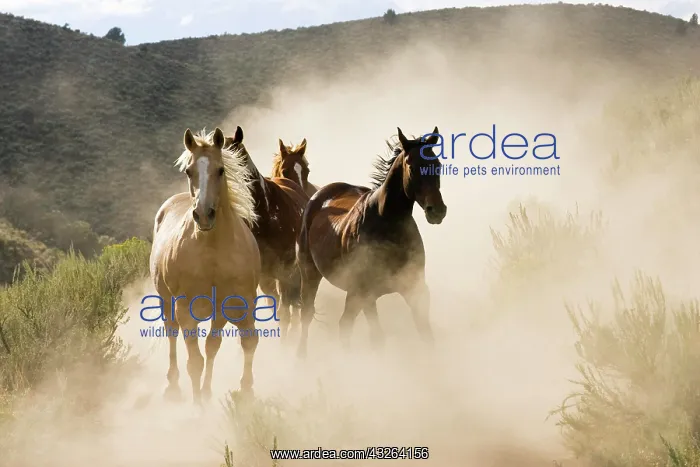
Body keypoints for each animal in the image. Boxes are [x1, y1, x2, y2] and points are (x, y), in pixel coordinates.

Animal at [150, 127, 261, 404]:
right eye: (189, 171)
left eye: (220, 170)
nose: (203, 215)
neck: (212, 251)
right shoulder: (185, 309)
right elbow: (195, 361)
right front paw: (199, 404)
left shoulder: (230, 305)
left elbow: (221, 346)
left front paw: (220, 392)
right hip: (166, 299)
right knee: (171, 333)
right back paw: (173, 386)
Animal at [295, 127, 448, 359]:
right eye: (412, 167)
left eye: (437, 165)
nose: (436, 211)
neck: (387, 224)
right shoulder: (366, 294)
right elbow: (377, 338)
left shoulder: (415, 288)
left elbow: (425, 333)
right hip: (311, 274)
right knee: (308, 314)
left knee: (345, 324)